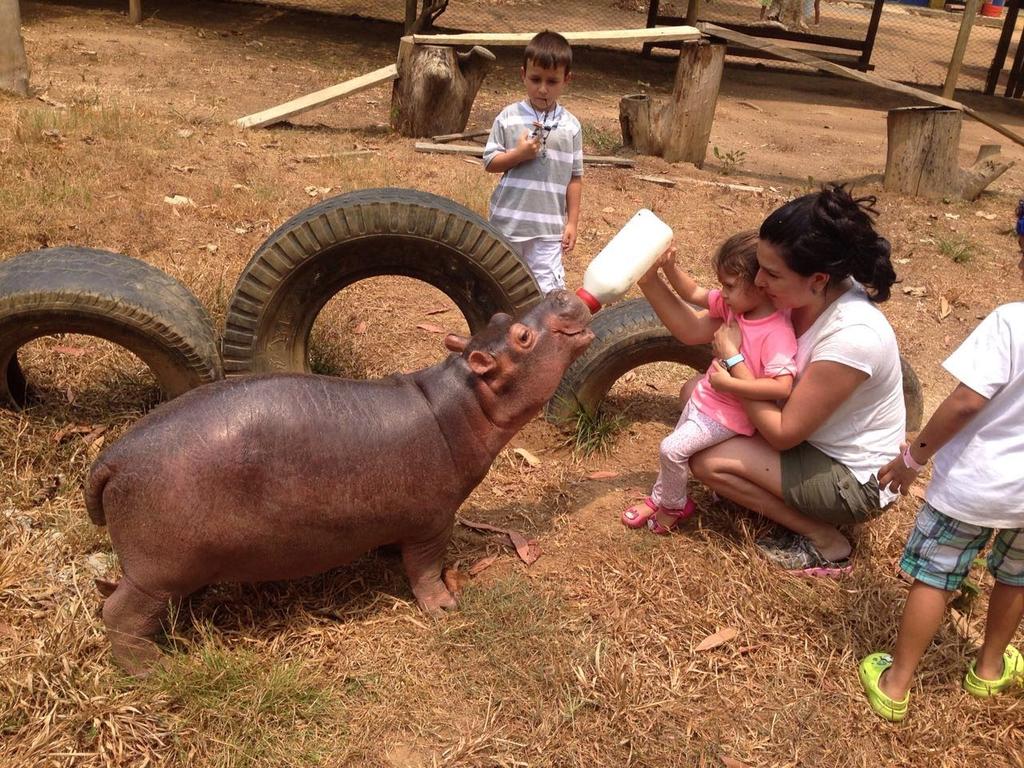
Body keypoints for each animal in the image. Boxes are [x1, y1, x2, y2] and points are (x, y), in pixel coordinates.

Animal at [86, 288, 593, 671]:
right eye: (522, 336)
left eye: (502, 316)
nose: (562, 293)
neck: (461, 399)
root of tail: (111, 458)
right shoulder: (433, 521)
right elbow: (425, 567)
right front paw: (444, 606)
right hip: (158, 572)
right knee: (119, 614)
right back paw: (154, 669)